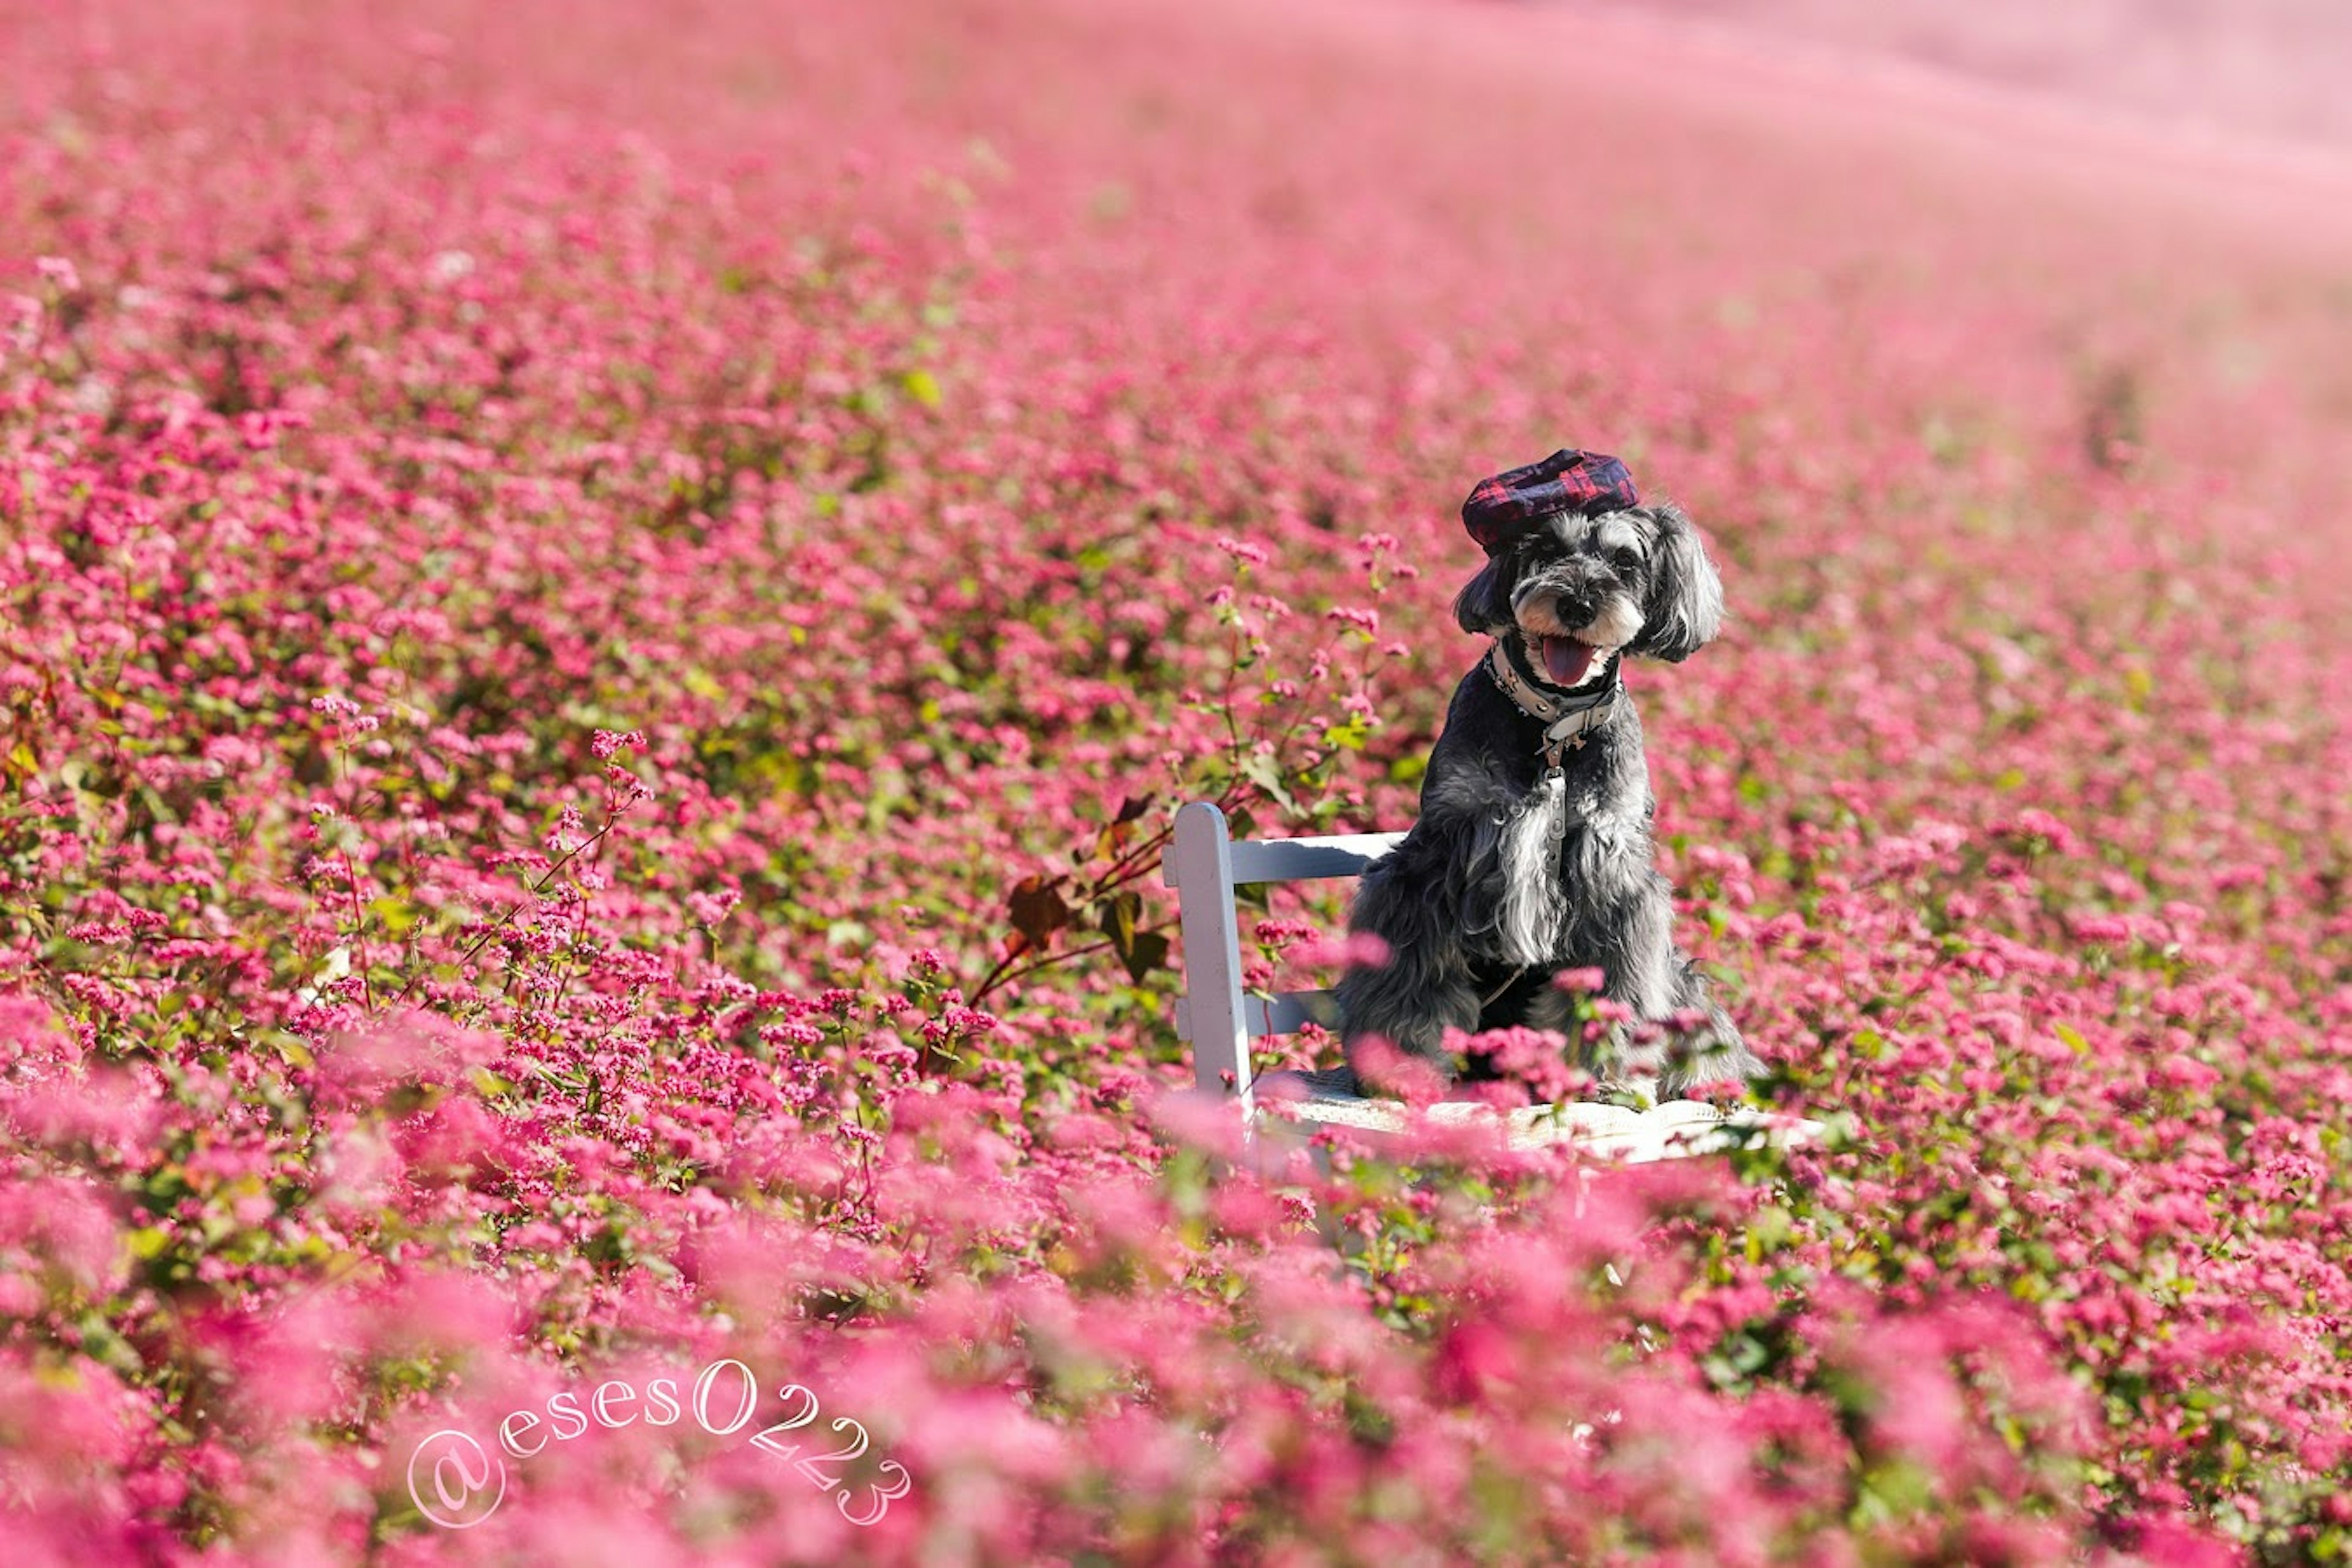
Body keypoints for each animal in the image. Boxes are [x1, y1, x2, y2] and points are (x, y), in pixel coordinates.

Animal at [1336, 447, 1759, 1100]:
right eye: (1546, 548)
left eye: (1625, 560)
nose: (1578, 605)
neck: (1553, 730)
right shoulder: (1434, 859)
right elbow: (1411, 974)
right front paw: (1399, 1067)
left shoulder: (1614, 875)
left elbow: (1616, 988)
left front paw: (1605, 1077)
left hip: (1680, 975)